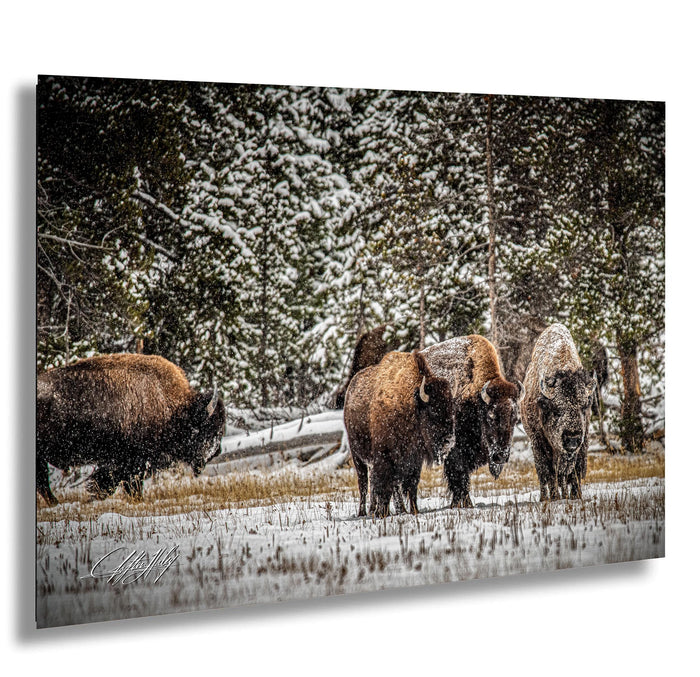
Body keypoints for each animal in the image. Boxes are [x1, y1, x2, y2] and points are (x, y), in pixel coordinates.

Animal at [36, 353, 225, 505]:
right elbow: (116, 484)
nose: (216, 451)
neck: (173, 408)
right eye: (210, 428)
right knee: (43, 482)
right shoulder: (129, 462)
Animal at [344, 350, 453, 518]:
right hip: (357, 456)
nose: (449, 441)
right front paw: (382, 512)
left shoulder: (413, 459)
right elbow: (383, 485)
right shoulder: (384, 456)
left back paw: (390, 509)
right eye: (434, 410)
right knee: (363, 484)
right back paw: (363, 512)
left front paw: (414, 510)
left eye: (451, 408)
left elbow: (411, 485)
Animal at [421, 336, 522, 508]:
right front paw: (462, 504)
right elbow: (459, 477)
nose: (501, 456)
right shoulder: (455, 451)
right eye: (491, 416)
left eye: (514, 419)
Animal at [520, 323, 595, 501]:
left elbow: (575, 471)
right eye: (556, 409)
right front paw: (554, 496)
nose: (572, 438)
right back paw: (545, 497)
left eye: (584, 407)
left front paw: (576, 495)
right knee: (544, 475)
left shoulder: (582, 444)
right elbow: (549, 472)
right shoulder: (540, 442)